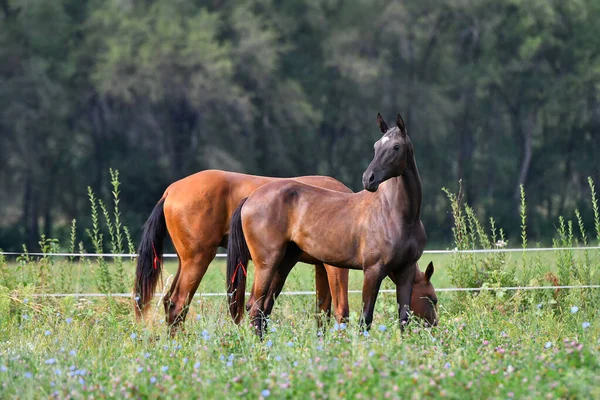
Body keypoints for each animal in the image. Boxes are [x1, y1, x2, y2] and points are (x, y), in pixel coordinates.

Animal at [227, 112, 428, 338]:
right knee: (255, 306)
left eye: (396, 147)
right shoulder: (373, 271)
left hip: (284, 262)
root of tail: (250, 198)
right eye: (376, 146)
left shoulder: (405, 272)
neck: (397, 215)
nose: (369, 179)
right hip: (267, 263)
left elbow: (404, 319)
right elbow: (365, 319)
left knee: (264, 307)